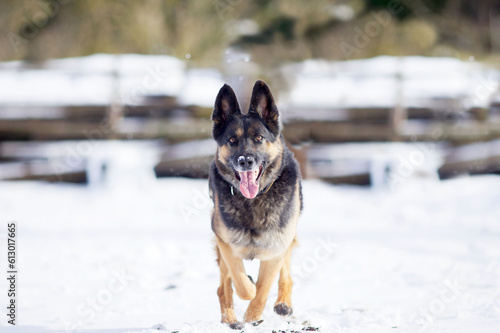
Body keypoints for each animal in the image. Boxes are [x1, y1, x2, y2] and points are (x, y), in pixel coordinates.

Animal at [210, 80, 302, 326]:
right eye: (232, 141)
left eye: (259, 138)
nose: (245, 161)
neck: (254, 201)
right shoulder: (226, 244)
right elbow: (242, 285)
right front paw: (248, 288)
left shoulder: (276, 249)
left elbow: (262, 291)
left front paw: (253, 316)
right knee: (223, 286)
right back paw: (230, 320)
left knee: (286, 276)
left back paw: (283, 304)